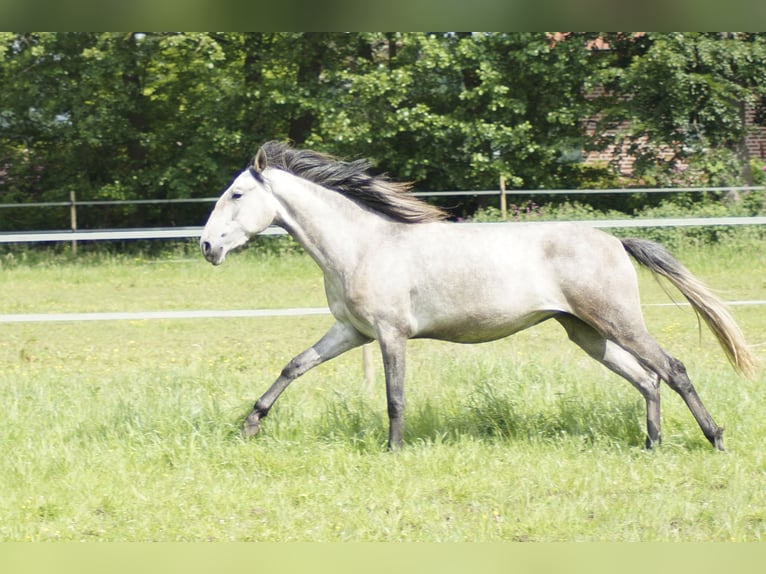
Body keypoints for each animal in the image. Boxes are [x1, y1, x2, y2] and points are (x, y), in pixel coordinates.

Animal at [201, 142, 760, 452]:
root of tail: (616, 241)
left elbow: (394, 397)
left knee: (673, 369)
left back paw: (715, 439)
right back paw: (650, 445)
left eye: (236, 194)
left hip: (617, 321)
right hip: (587, 333)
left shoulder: (389, 334)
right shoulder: (351, 332)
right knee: (647, 379)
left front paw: (393, 451)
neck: (363, 245)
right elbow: (294, 366)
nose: (207, 246)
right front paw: (249, 426)